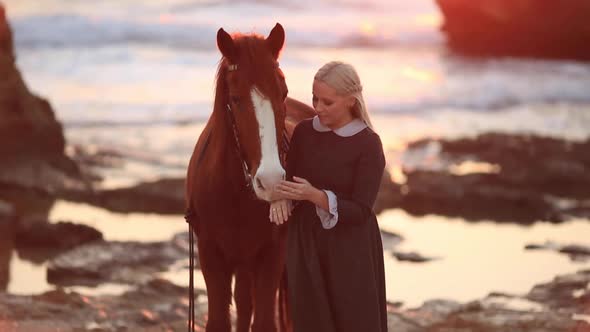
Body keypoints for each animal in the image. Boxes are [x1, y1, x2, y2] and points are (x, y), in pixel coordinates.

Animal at [185, 24, 314, 332]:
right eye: (235, 98)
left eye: (283, 92)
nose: (271, 180)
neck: (236, 194)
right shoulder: (211, 255)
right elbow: (219, 321)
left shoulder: (271, 254)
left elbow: (265, 321)